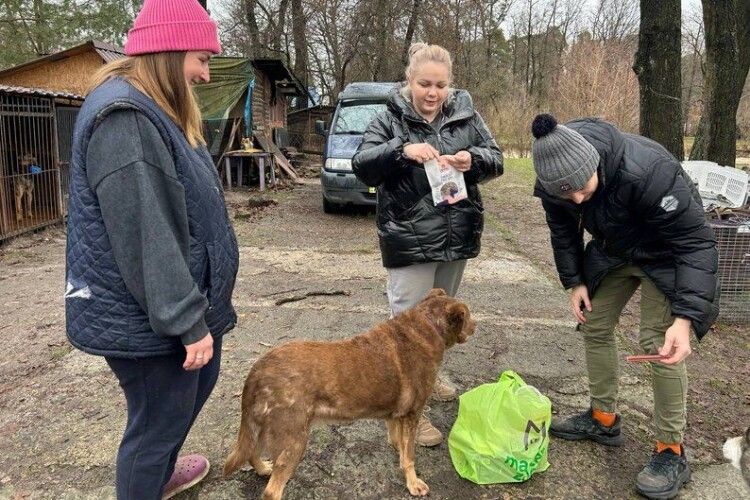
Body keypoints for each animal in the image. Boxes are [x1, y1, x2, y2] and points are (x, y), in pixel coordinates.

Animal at [223, 290, 476, 500]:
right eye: (468, 316)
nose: (476, 326)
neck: (425, 328)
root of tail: (259, 367)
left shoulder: (396, 415)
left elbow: (397, 440)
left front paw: (397, 449)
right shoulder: (413, 414)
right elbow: (410, 457)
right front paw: (413, 483)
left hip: (262, 424)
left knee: (251, 452)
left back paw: (263, 468)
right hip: (293, 439)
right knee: (271, 491)